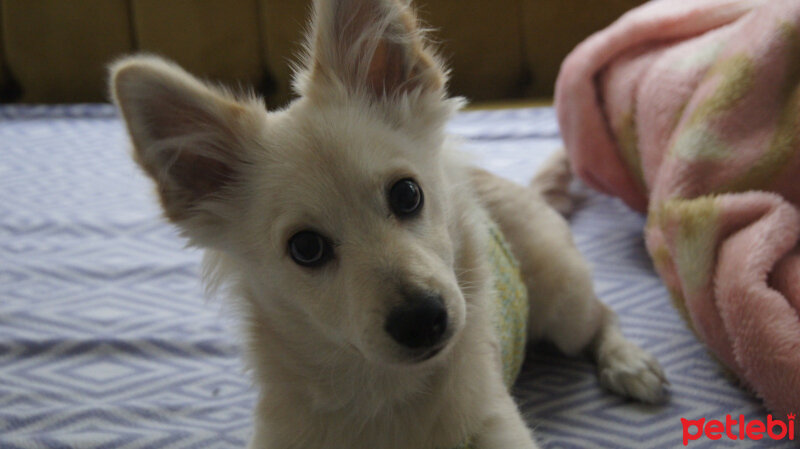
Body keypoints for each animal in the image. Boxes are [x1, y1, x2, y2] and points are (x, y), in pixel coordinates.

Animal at [109, 0, 664, 448]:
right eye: (305, 248)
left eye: (407, 194)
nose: (423, 319)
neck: (381, 394)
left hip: (564, 301)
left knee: (601, 316)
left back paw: (628, 362)